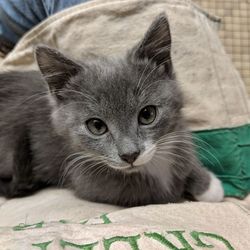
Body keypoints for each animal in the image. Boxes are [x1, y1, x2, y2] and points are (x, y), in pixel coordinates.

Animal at [0, 12, 224, 206]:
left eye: (147, 114)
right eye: (96, 126)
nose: (130, 155)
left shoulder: (177, 129)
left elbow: (185, 154)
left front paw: (205, 183)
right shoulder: (83, 174)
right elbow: (142, 192)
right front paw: (177, 190)